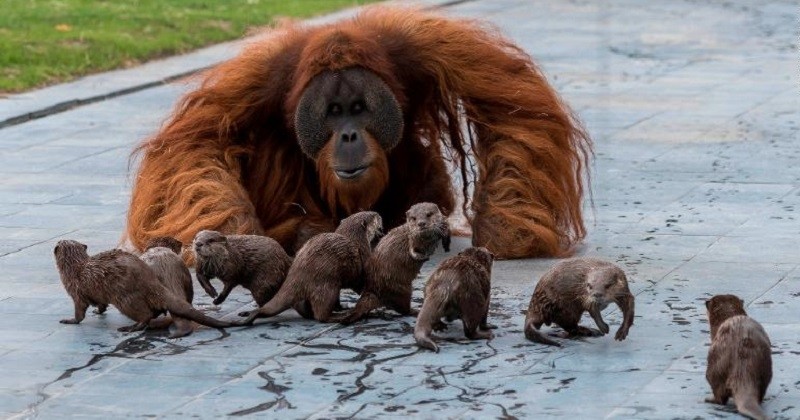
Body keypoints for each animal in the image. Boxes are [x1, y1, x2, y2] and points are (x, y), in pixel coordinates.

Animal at [54, 241, 231, 334]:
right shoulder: (97, 294)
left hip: (124, 298)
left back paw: (130, 328)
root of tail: (150, 280)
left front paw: (69, 320)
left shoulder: (76, 291)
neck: (75, 268)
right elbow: (101, 304)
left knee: (145, 315)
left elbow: (80, 312)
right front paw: (98, 311)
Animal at [236, 212, 382, 326]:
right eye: (373, 216)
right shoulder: (363, 257)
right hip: (327, 285)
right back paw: (340, 315)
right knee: (320, 315)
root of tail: (298, 276)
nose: (379, 214)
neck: (354, 238)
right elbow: (359, 281)